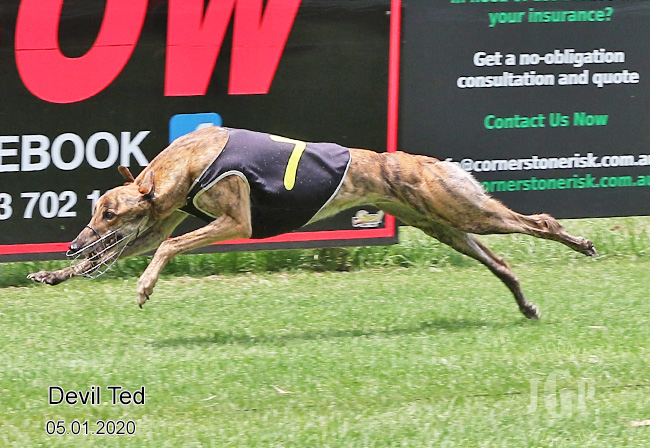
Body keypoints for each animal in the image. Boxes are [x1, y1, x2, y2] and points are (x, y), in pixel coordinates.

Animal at [28, 126, 597, 318]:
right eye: (94, 211)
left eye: (108, 212)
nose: (73, 244)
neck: (186, 162)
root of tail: (428, 162)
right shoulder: (158, 223)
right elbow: (118, 256)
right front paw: (52, 274)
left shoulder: (234, 222)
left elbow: (167, 249)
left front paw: (145, 288)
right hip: (447, 226)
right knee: (501, 262)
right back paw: (525, 303)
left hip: (464, 211)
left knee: (541, 220)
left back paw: (580, 244)